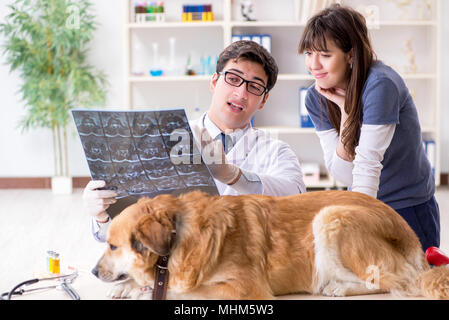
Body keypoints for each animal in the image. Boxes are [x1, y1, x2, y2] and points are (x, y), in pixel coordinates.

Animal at [92, 190, 448, 300]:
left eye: (112, 246)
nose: (93, 272)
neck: (181, 237)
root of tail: (411, 236)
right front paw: (130, 287)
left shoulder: (245, 288)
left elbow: (185, 292)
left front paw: (141, 290)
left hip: (331, 217)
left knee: (398, 282)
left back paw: (339, 288)